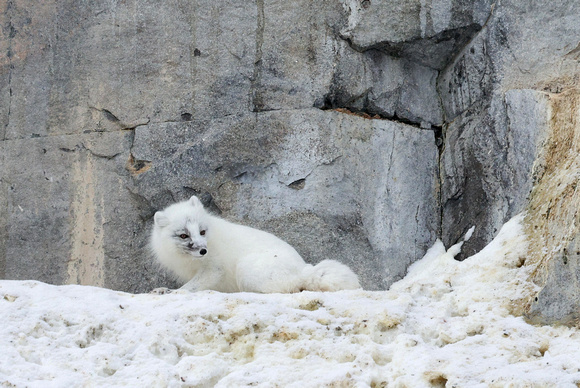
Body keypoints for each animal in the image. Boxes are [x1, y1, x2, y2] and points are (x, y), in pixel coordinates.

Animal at [150, 196, 358, 292]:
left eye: (202, 232)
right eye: (184, 235)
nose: (203, 250)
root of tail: (304, 269)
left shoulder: (214, 269)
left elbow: (190, 288)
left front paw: (169, 292)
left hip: (246, 268)